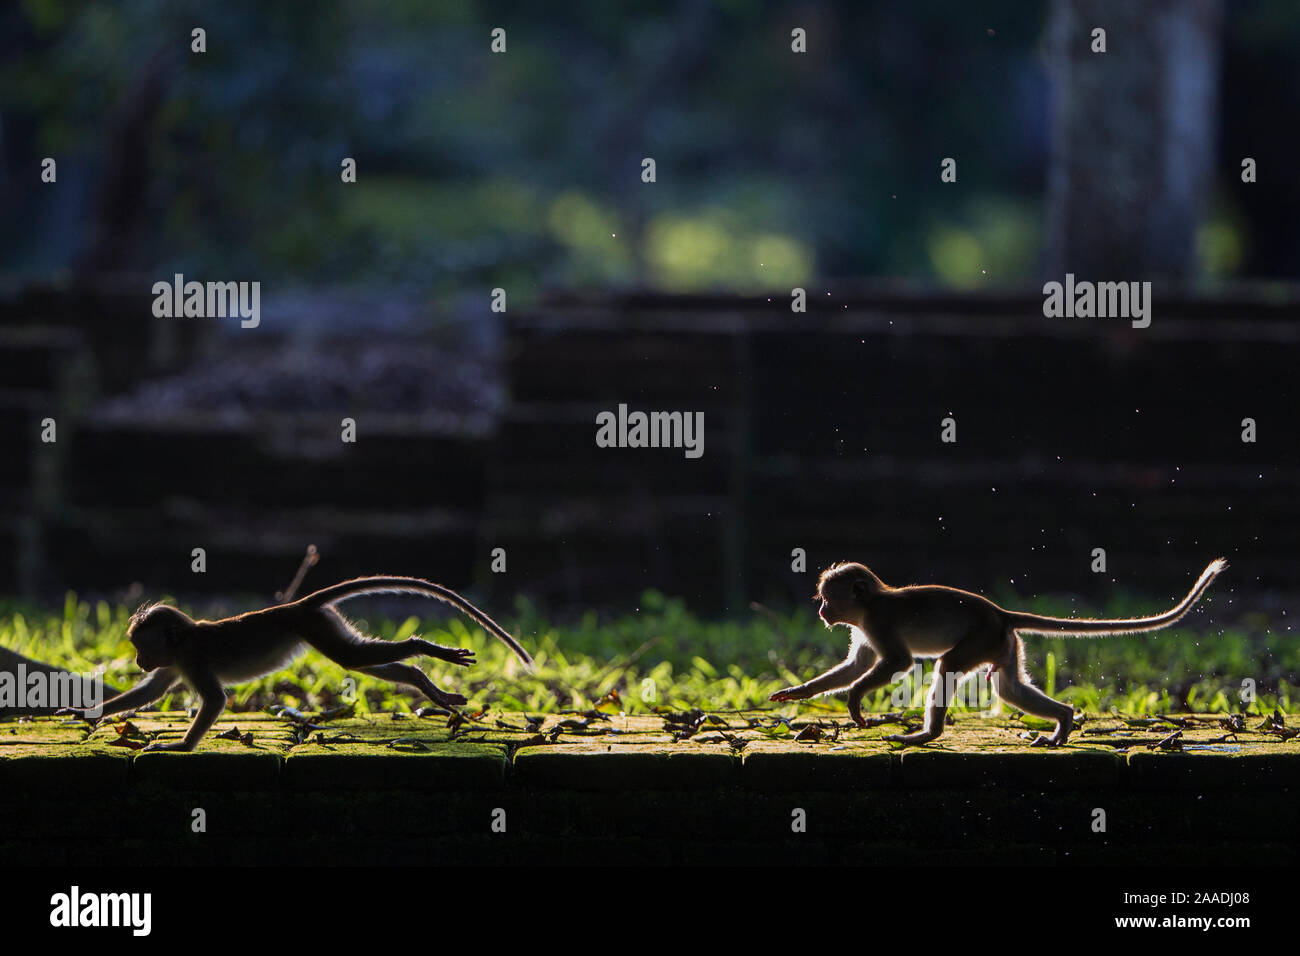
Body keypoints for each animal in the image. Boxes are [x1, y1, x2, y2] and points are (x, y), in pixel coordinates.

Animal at [58, 580, 535, 749]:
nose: (139, 660)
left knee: (352, 658)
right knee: (355, 658)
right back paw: (422, 680)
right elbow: (152, 691)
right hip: (321, 623)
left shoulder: (190, 658)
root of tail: (299, 604)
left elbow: (214, 700)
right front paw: (85, 714)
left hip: (312, 624)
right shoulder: (176, 661)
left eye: (141, 646)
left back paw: (423, 650)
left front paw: (180, 748)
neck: (184, 639)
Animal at [764, 561, 1222, 749]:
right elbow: (857, 665)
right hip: (1002, 643)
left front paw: (856, 702)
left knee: (949, 666)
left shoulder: (877, 621)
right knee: (1008, 689)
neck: (871, 602)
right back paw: (1063, 721)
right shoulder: (863, 627)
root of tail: (1001, 613)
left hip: (982, 637)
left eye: (828, 598)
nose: (822, 612)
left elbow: (897, 664)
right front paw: (798, 693)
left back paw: (927, 735)